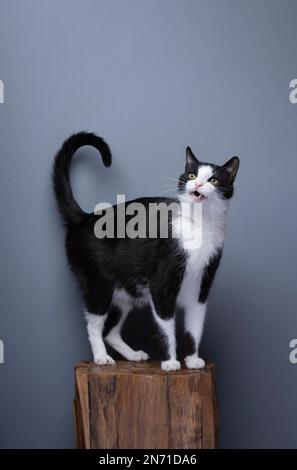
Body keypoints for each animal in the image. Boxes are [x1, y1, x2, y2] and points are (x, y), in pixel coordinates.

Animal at [53, 131, 238, 370]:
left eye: (213, 180)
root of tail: (84, 218)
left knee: (110, 331)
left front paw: (193, 359)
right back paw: (101, 357)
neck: (199, 224)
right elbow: (166, 328)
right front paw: (171, 362)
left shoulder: (201, 286)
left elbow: (195, 327)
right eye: (191, 175)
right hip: (98, 284)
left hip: (124, 292)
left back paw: (132, 355)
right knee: (94, 325)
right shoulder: (161, 284)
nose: (196, 183)